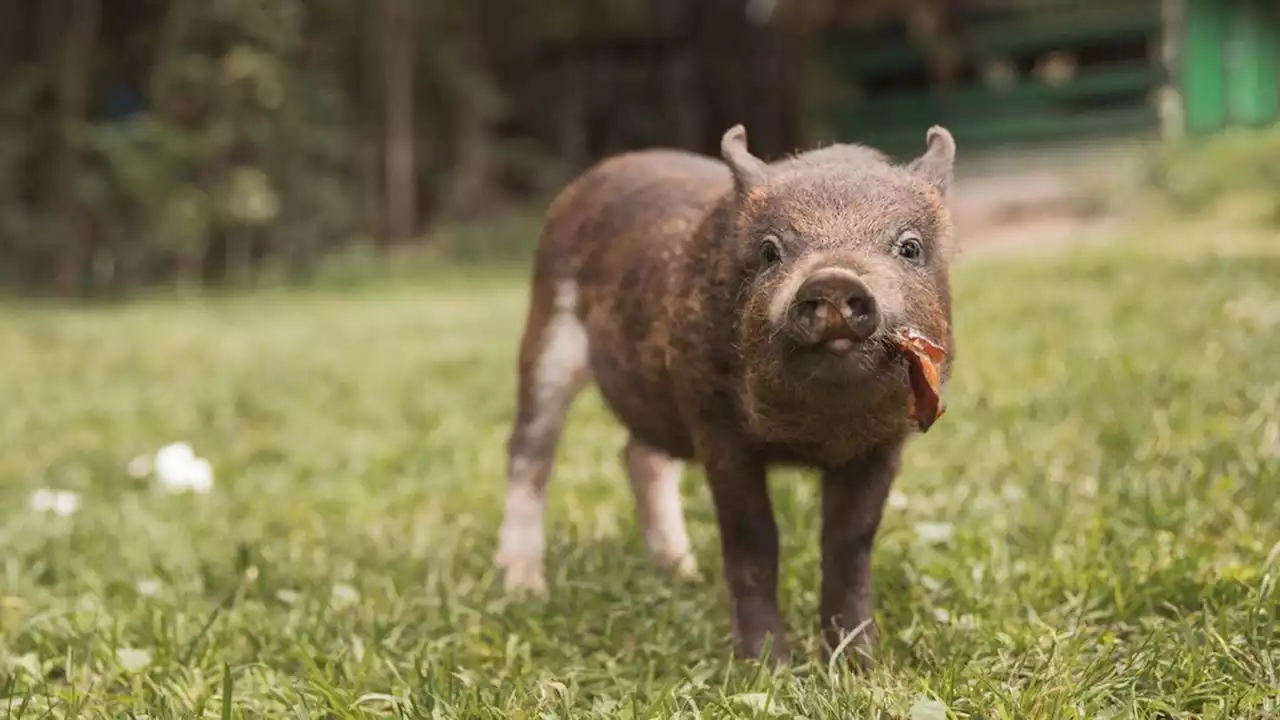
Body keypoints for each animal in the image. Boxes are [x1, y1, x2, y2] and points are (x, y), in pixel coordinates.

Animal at [494, 121, 957, 661]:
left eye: (909, 247)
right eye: (771, 251)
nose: (834, 277)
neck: (816, 436)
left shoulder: (884, 443)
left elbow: (849, 543)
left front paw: (859, 664)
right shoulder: (716, 425)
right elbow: (752, 540)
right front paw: (768, 665)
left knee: (638, 456)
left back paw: (683, 575)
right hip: (546, 329)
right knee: (530, 452)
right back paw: (524, 589)